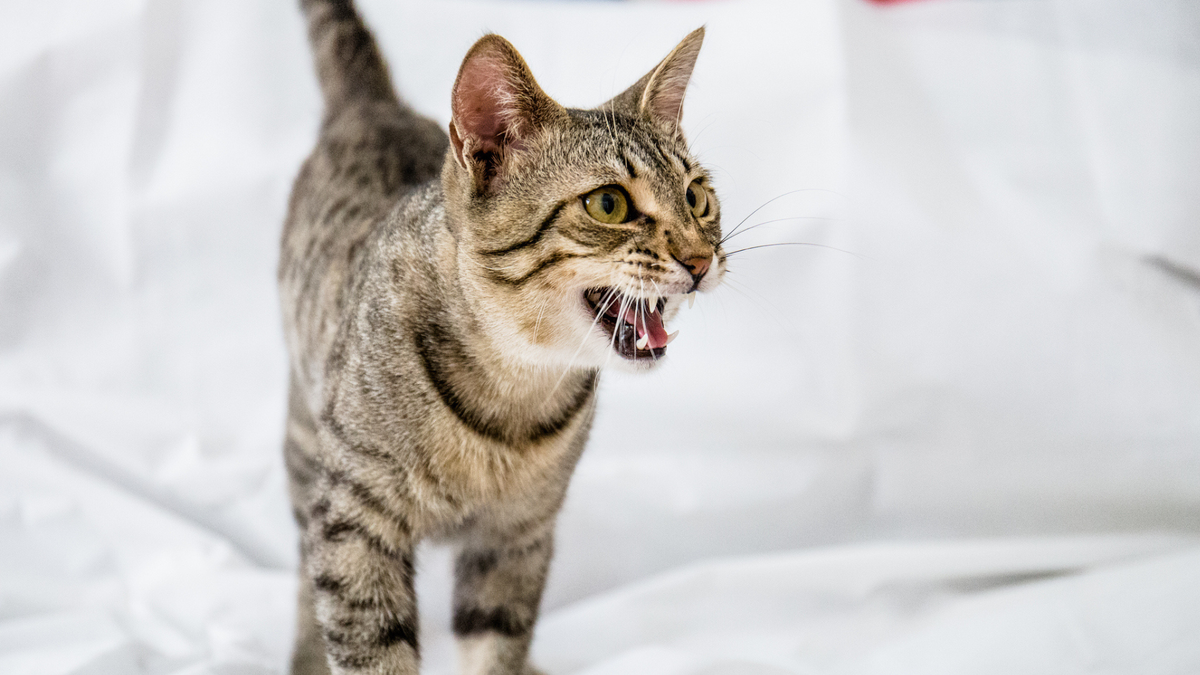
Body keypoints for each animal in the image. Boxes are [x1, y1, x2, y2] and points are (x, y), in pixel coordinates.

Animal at [280, 2, 724, 667]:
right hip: (306, 442)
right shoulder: (353, 525)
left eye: (698, 197)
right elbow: (372, 646)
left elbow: (496, 643)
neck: (513, 386)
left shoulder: (518, 537)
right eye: (609, 204)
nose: (701, 259)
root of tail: (374, 106)